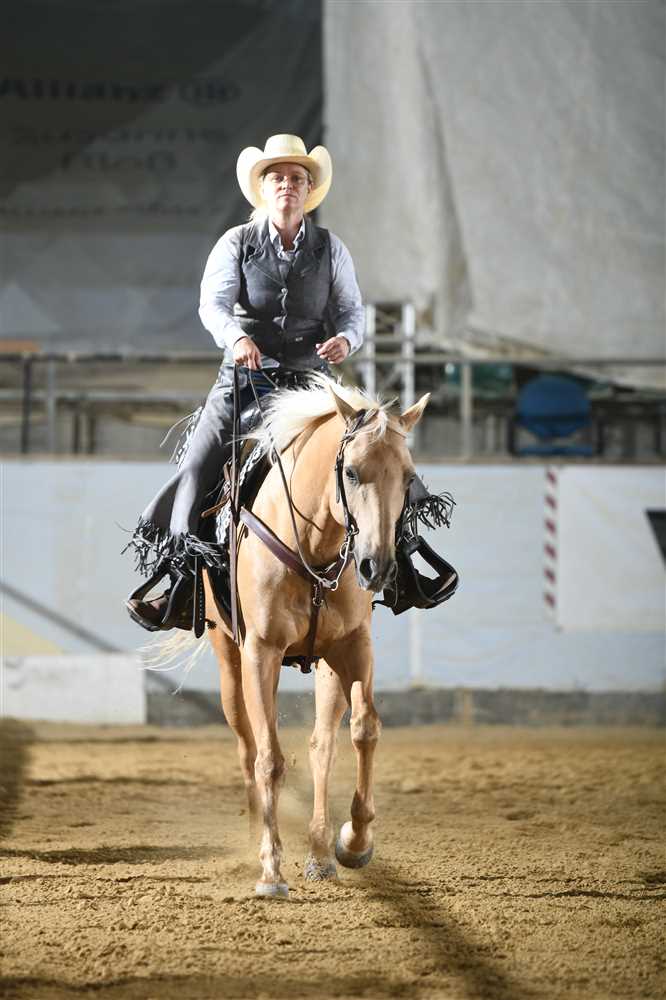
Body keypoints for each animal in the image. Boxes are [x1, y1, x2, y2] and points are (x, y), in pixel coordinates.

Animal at [201, 375, 429, 898]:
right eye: (351, 472)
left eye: (408, 478)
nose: (376, 566)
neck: (313, 545)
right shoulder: (261, 652)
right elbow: (269, 759)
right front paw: (270, 869)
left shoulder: (354, 648)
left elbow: (364, 729)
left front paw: (355, 841)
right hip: (230, 661)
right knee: (248, 747)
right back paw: (256, 840)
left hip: (326, 664)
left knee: (322, 745)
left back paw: (322, 853)